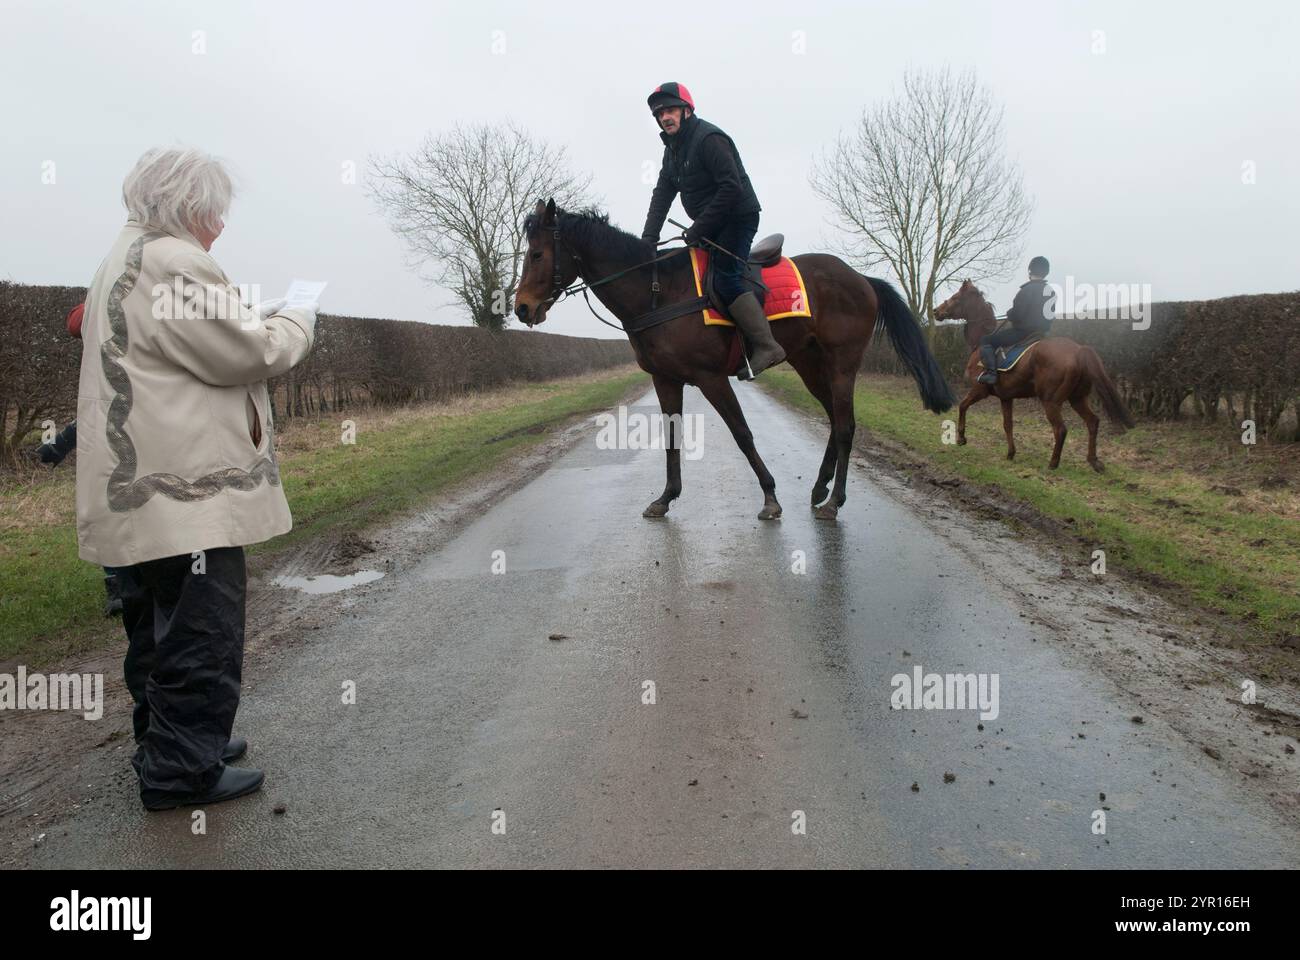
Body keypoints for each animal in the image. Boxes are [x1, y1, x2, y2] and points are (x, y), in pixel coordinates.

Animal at [514, 197, 956, 520]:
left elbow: (742, 433)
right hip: (810, 365)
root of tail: (862, 279)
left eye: (536, 255)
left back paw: (834, 502)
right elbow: (672, 438)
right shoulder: (665, 379)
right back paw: (820, 488)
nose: (521, 308)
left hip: (841, 364)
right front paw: (666, 497)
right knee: (835, 419)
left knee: (846, 426)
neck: (659, 291)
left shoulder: (711, 378)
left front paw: (770, 497)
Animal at [935, 278, 1138, 468]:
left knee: (1061, 429)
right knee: (1093, 422)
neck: (980, 343)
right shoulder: (1006, 398)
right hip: (1077, 398)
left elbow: (962, 406)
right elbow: (1008, 424)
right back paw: (1094, 461)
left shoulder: (979, 391)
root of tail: (1078, 350)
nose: (936, 311)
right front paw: (1010, 453)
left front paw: (961, 438)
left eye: (955, 298)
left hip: (1051, 401)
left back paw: (1053, 463)